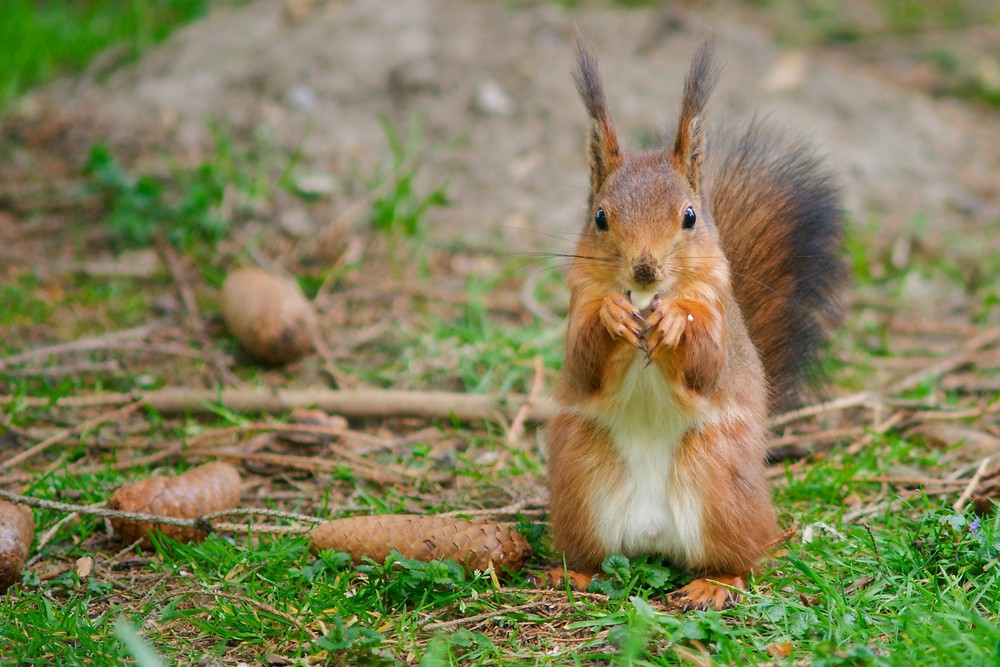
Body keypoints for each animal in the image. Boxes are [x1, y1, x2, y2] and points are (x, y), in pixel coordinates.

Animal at [548, 36, 844, 612]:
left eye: (689, 216)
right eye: (600, 217)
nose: (644, 269)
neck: (645, 297)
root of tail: (651, 538)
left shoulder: (719, 312)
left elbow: (706, 363)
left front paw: (674, 320)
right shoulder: (577, 304)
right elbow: (583, 359)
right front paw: (613, 315)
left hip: (719, 483)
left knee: (743, 559)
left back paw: (714, 584)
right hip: (580, 483)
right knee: (591, 551)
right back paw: (576, 574)